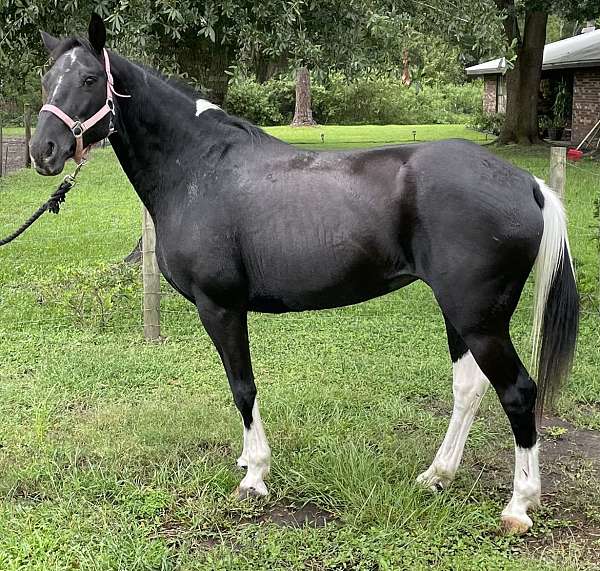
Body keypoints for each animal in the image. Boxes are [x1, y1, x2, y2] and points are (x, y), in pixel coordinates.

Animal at [30, 15, 580, 536]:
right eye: (46, 78)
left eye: (88, 78)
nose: (44, 150)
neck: (199, 168)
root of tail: (527, 183)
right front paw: (249, 463)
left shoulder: (220, 307)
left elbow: (243, 386)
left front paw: (255, 475)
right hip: (461, 315)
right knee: (468, 388)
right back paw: (437, 475)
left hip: (479, 320)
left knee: (518, 393)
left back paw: (519, 506)